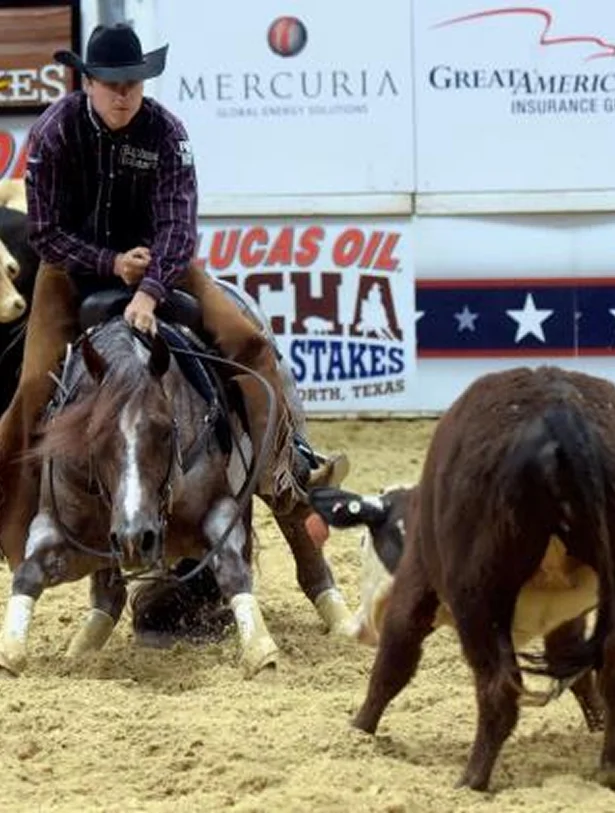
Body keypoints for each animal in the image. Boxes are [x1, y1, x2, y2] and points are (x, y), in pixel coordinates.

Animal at [310, 365, 615, 791]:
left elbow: (390, 667)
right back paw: (608, 768)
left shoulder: (413, 588)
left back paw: (471, 781)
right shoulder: (566, 619)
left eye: (362, 541)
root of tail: (561, 413)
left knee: (498, 690)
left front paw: (357, 732)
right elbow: (579, 675)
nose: (360, 628)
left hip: (476, 600)